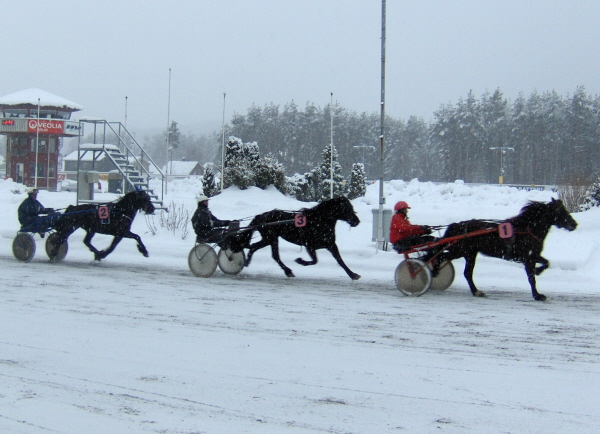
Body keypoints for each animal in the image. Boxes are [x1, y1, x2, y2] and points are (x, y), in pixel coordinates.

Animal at [432, 198, 576, 302]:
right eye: (562, 211)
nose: (574, 224)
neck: (527, 229)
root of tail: (458, 225)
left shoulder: (532, 256)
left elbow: (546, 263)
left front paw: (538, 273)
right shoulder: (527, 258)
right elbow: (532, 277)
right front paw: (537, 295)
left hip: (470, 254)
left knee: (467, 273)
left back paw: (476, 291)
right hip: (459, 250)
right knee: (440, 257)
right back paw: (434, 273)